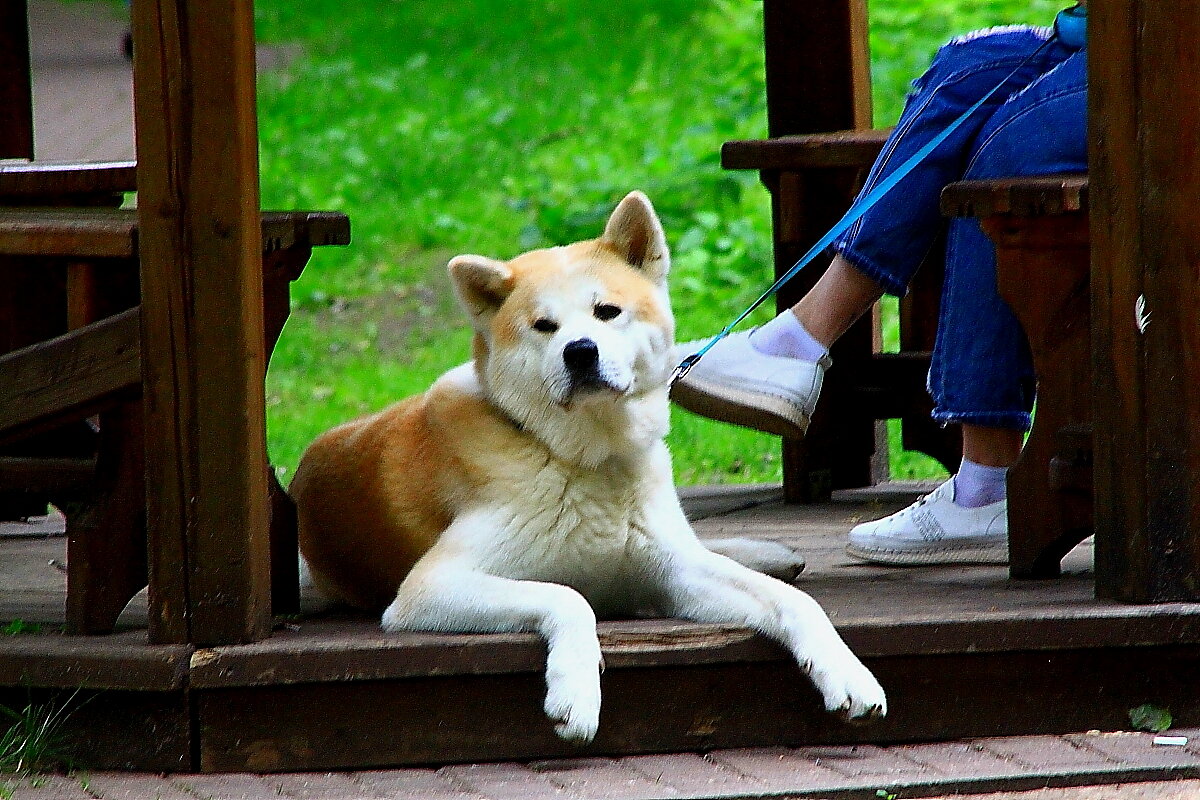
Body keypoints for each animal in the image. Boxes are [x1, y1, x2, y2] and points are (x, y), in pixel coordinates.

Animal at [291, 190, 892, 743]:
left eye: (607, 312)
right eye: (543, 326)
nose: (580, 351)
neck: (588, 460)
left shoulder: (675, 576)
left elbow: (797, 602)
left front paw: (847, 673)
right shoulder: (430, 589)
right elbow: (569, 596)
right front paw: (576, 693)